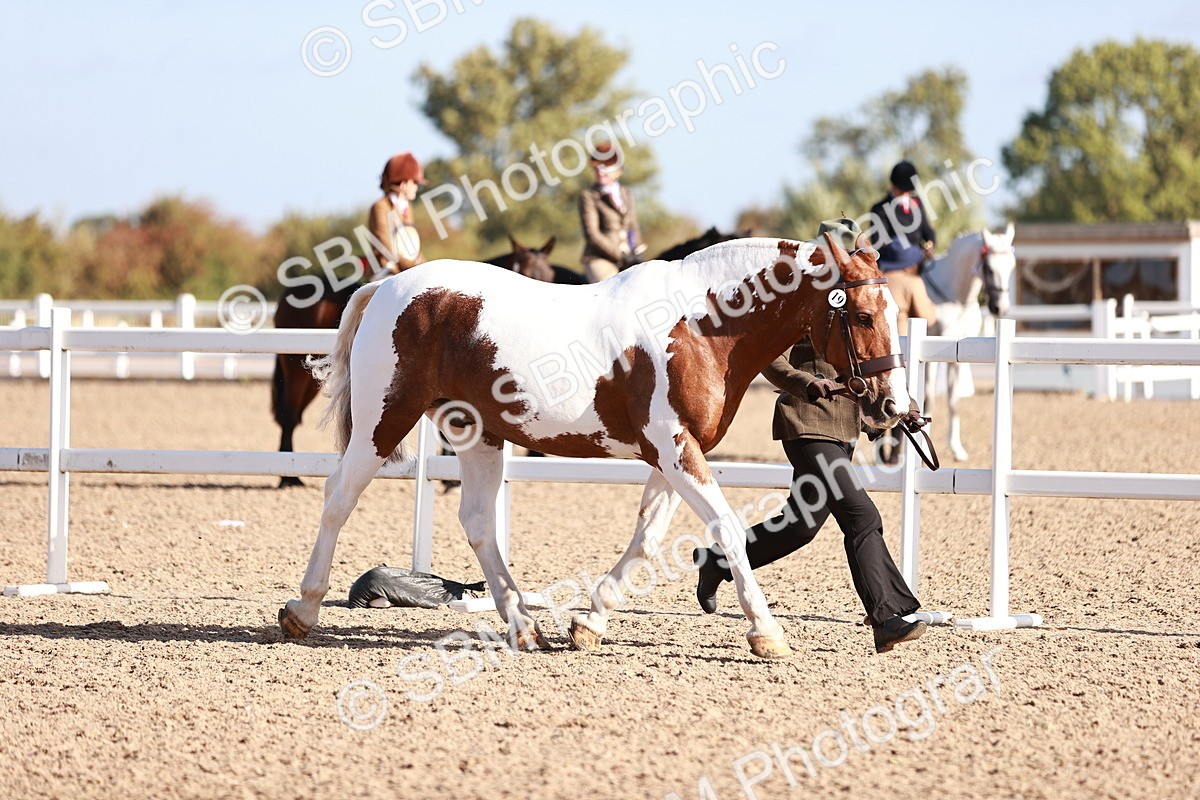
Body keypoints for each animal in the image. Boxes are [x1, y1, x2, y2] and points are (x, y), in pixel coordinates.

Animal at [277, 231, 911, 659]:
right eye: (860, 314)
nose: (893, 407)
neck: (699, 326)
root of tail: (388, 287)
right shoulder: (675, 449)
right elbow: (726, 528)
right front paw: (767, 632)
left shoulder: (672, 454)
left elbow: (648, 538)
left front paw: (590, 622)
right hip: (383, 422)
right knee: (338, 499)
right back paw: (302, 610)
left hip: (478, 434)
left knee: (478, 521)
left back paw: (524, 625)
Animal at [920, 223, 1017, 461]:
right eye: (989, 268)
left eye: (1012, 266)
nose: (1000, 308)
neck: (955, 297)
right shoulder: (930, 355)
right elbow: (929, 399)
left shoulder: (956, 358)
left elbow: (954, 401)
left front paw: (957, 449)